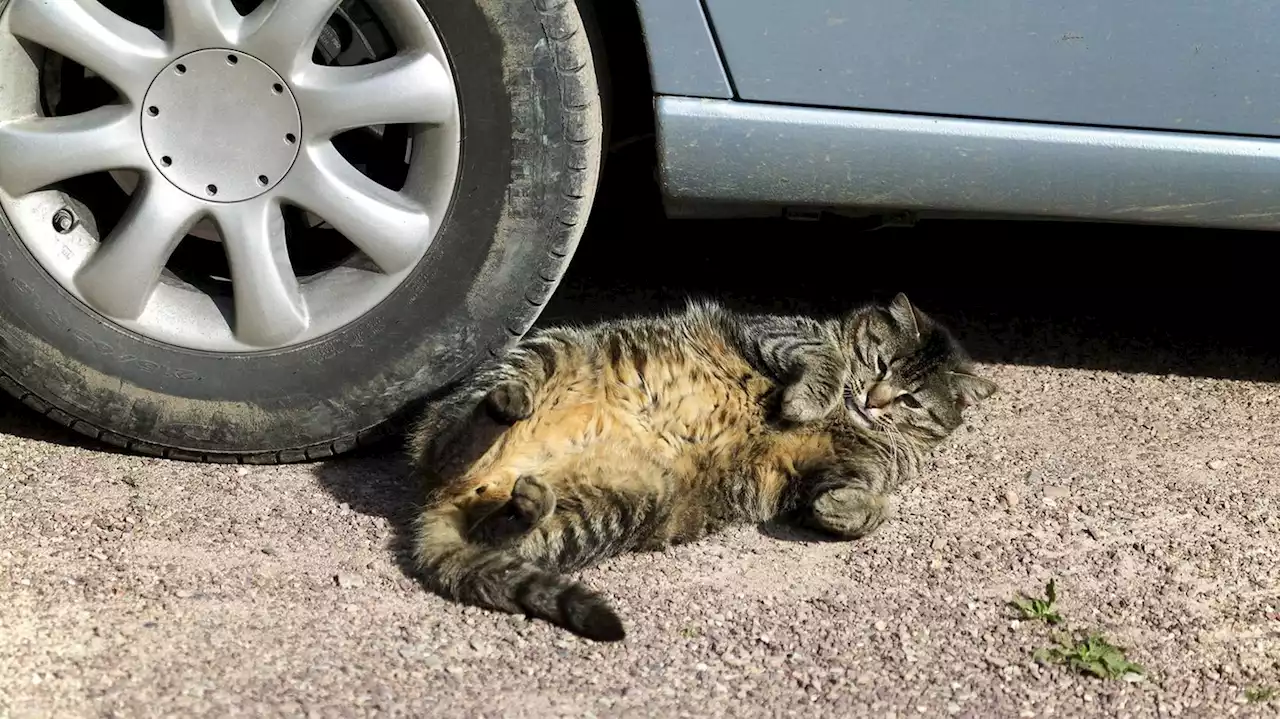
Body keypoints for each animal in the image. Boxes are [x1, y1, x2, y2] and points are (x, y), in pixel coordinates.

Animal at [404, 291, 993, 637]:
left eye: (912, 400)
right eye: (879, 362)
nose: (875, 398)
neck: (853, 421)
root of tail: (435, 503)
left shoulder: (842, 468)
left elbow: (865, 501)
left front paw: (848, 508)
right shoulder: (776, 330)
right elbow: (821, 359)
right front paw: (806, 401)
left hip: (622, 505)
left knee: (493, 528)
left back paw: (526, 500)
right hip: (545, 355)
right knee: (447, 445)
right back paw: (502, 409)